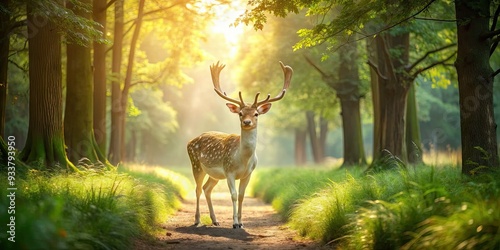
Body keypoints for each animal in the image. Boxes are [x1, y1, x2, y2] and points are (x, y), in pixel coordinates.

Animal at [188, 61, 292, 229]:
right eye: (240, 113)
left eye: (256, 114)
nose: (247, 122)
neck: (242, 160)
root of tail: (190, 141)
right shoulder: (229, 170)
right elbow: (234, 195)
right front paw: (235, 223)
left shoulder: (248, 173)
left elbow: (242, 195)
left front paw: (242, 223)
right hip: (196, 164)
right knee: (197, 189)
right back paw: (197, 220)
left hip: (215, 174)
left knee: (206, 188)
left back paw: (215, 220)